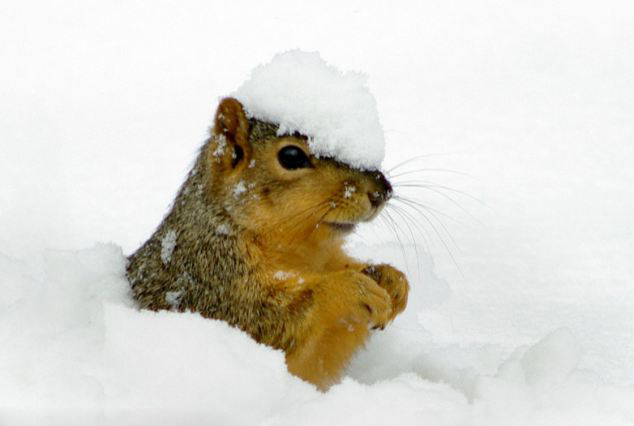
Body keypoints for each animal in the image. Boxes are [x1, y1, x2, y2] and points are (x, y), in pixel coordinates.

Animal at [126, 96, 408, 390]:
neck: (300, 251)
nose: (382, 192)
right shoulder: (212, 285)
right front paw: (347, 290)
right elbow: (267, 321)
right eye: (291, 156)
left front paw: (391, 279)